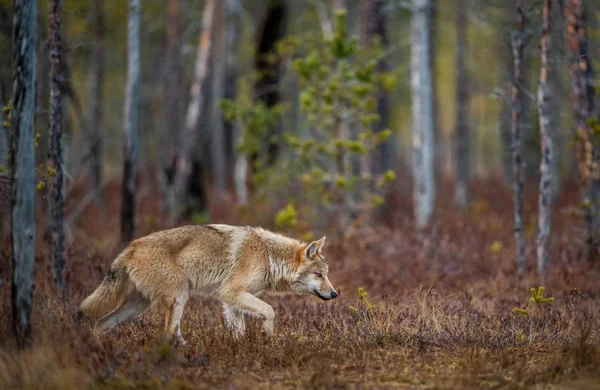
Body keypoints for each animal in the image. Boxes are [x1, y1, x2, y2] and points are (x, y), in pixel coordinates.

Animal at [79, 224, 338, 342]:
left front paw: (240, 350)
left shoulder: (230, 300)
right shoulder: (231, 292)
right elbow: (270, 310)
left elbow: (239, 330)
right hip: (178, 297)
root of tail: (131, 247)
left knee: (102, 322)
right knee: (168, 332)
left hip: (138, 306)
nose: (335, 294)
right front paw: (266, 336)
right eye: (319, 275)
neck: (268, 255)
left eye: (326, 274)